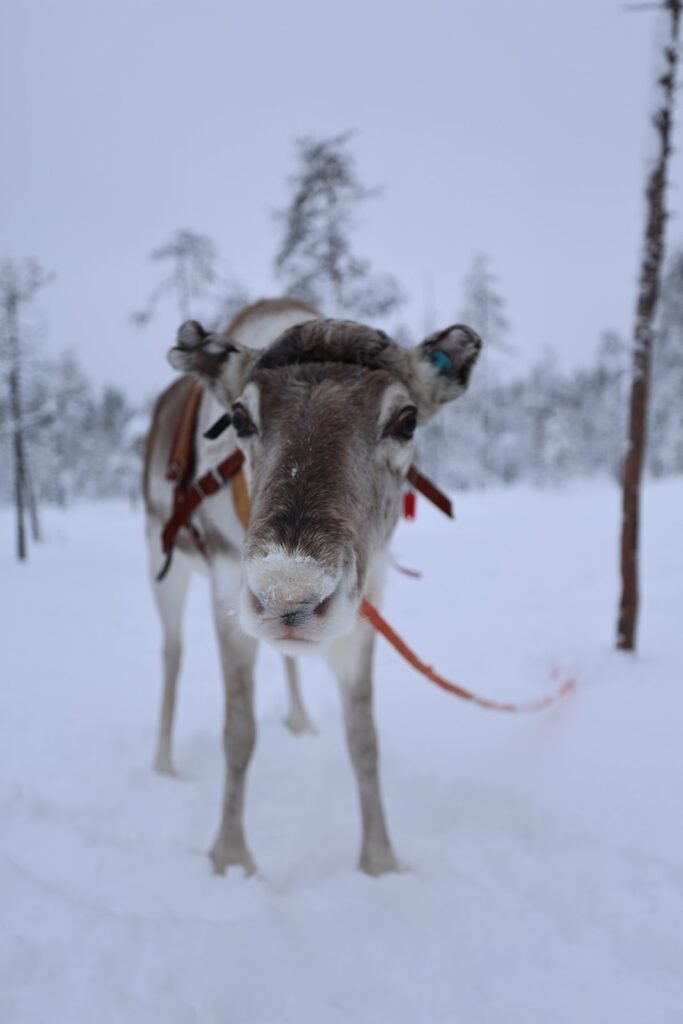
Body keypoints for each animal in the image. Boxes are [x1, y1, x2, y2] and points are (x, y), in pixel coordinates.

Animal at [144, 298, 481, 876]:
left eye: (407, 419)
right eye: (239, 416)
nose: (288, 595)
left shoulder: (366, 600)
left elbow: (363, 737)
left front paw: (380, 861)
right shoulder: (228, 586)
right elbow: (239, 731)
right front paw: (231, 856)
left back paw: (299, 720)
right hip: (161, 559)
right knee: (171, 655)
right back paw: (163, 763)